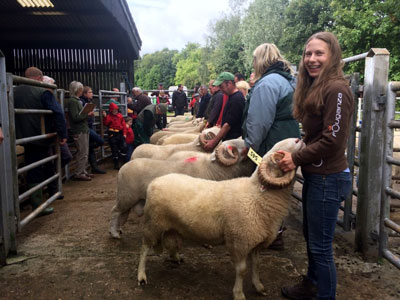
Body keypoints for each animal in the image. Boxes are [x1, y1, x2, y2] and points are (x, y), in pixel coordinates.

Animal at [109, 138, 253, 239]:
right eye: (233, 148)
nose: (249, 145)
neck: (212, 168)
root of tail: (122, 168)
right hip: (126, 196)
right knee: (115, 212)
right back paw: (114, 233)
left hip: (130, 198)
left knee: (122, 214)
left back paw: (118, 230)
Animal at [136, 138, 304, 300]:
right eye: (280, 154)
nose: (299, 139)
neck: (257, 195)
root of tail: (155, 181)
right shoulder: (239, 241)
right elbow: (242, 270)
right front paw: (238, 294)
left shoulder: (256, 242)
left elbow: (257, 265)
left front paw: (259, 287)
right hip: (153, 222)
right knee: (144, 248)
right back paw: (141, 276)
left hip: (170, 224)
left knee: (170, 241)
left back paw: (175, 257)